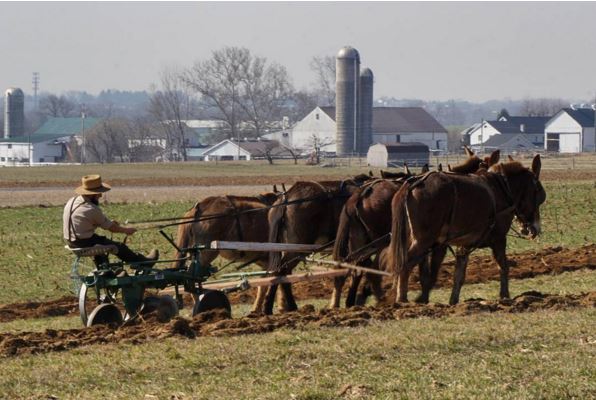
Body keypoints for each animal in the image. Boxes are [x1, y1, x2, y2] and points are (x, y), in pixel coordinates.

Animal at [392, 155, 544, 304]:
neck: (502, 189)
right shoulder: (499, 239)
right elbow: (503, 266)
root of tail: (413, 183)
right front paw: (505, 296)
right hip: (424, 240)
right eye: (539, 194)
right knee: (405, 263)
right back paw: (401, 299)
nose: (535, 229)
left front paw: (453, 300)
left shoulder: (463, 245)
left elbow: (458, 274)